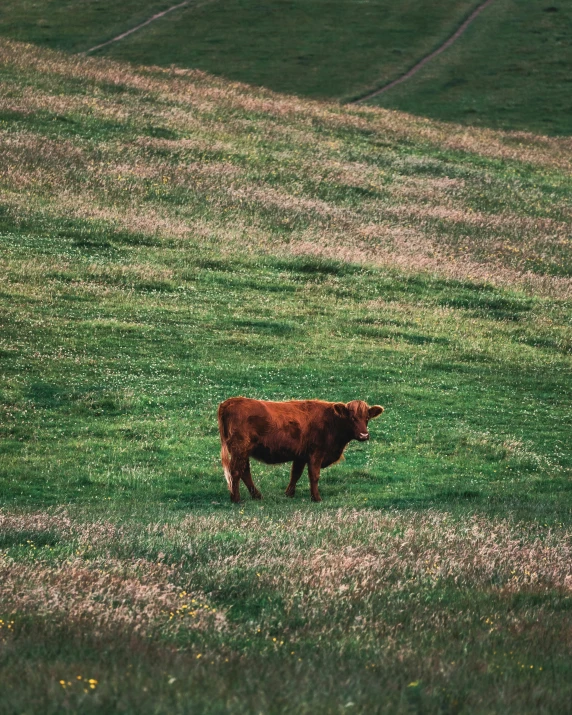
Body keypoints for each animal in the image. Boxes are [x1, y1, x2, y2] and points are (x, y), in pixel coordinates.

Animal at [218, 398, 384, 504]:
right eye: (352, 418)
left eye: (367, 417)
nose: (364, 435)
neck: (332, 422)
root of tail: (230, 401)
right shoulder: (316, 454)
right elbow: (314, 476)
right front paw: (316, 498)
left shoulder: (300, 456)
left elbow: (295, 475)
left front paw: (289, 494)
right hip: (240, 449)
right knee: (236, 472)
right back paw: (236, 499)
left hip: (243, 452)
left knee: (244, 471)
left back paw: (256, 496)